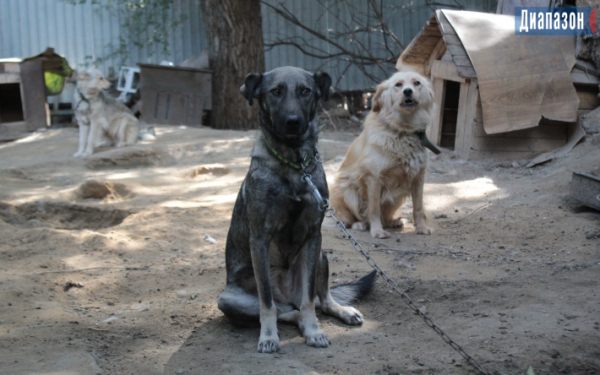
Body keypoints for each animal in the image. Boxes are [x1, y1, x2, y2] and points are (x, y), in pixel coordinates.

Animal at [216, 68, 376, 356]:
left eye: (305, 91)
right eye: (275, 91)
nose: (293, 122)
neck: (294, 163)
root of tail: (287, 296)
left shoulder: (313, 236)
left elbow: (310, 300)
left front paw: (314, 331)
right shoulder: (259, 240)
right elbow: (267, 303)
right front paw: (269, 336)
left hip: (321, 255)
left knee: (319, 300)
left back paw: (341, 311)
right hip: (228, 300)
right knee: (284, 311)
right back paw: (293, 321)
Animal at [330, 72, 434, 239]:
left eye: (417, 83)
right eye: (398, 84)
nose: (408, 91)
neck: (403, 131)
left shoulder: (419, 178)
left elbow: (418, 208)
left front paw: (422, 227)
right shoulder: (373, 178)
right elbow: (374, 210)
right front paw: (377, 231)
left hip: (396, 198)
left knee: (385, 216)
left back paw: (393, 221)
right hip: (348, 191)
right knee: (346, 220)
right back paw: (360, 224)